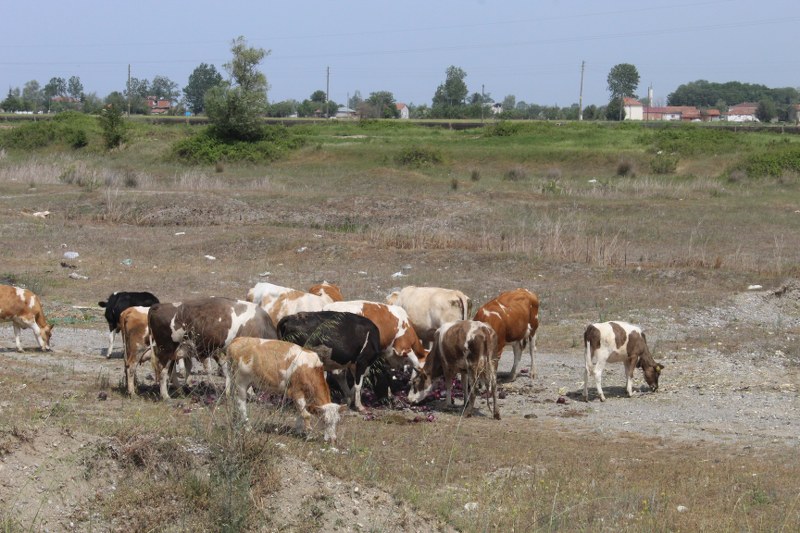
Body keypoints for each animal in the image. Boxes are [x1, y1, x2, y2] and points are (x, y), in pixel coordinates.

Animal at [148, 296, 276, 400]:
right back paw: (166, 396)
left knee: (171, 372)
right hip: (167, 350)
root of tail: (158, 306)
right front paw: (248, 393)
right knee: (163, 372)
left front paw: (230, 393)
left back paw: (180, 392)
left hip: (176, 352)